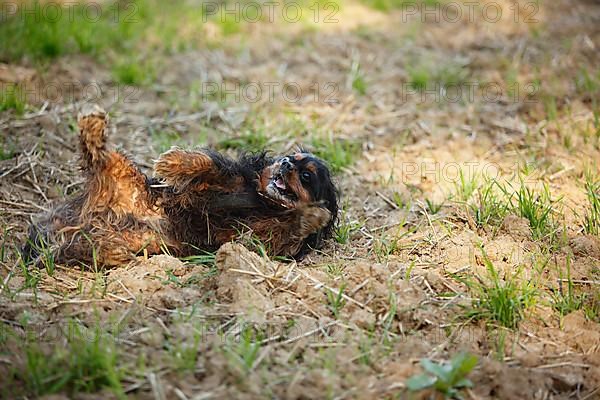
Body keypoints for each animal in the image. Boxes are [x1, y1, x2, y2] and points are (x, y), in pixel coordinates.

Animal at [22, 108, 338, 268]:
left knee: (80, 248)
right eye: (290, 157)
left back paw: (111, 252)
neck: (264, 202)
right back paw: (93, 126)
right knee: (99, 155)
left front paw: (313, 216)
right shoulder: (223, 182)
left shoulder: (257, 240)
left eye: (306, 176)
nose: (284, 163)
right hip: (122, 174)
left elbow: (283, 230)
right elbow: (208, 164)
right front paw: (174, 162)